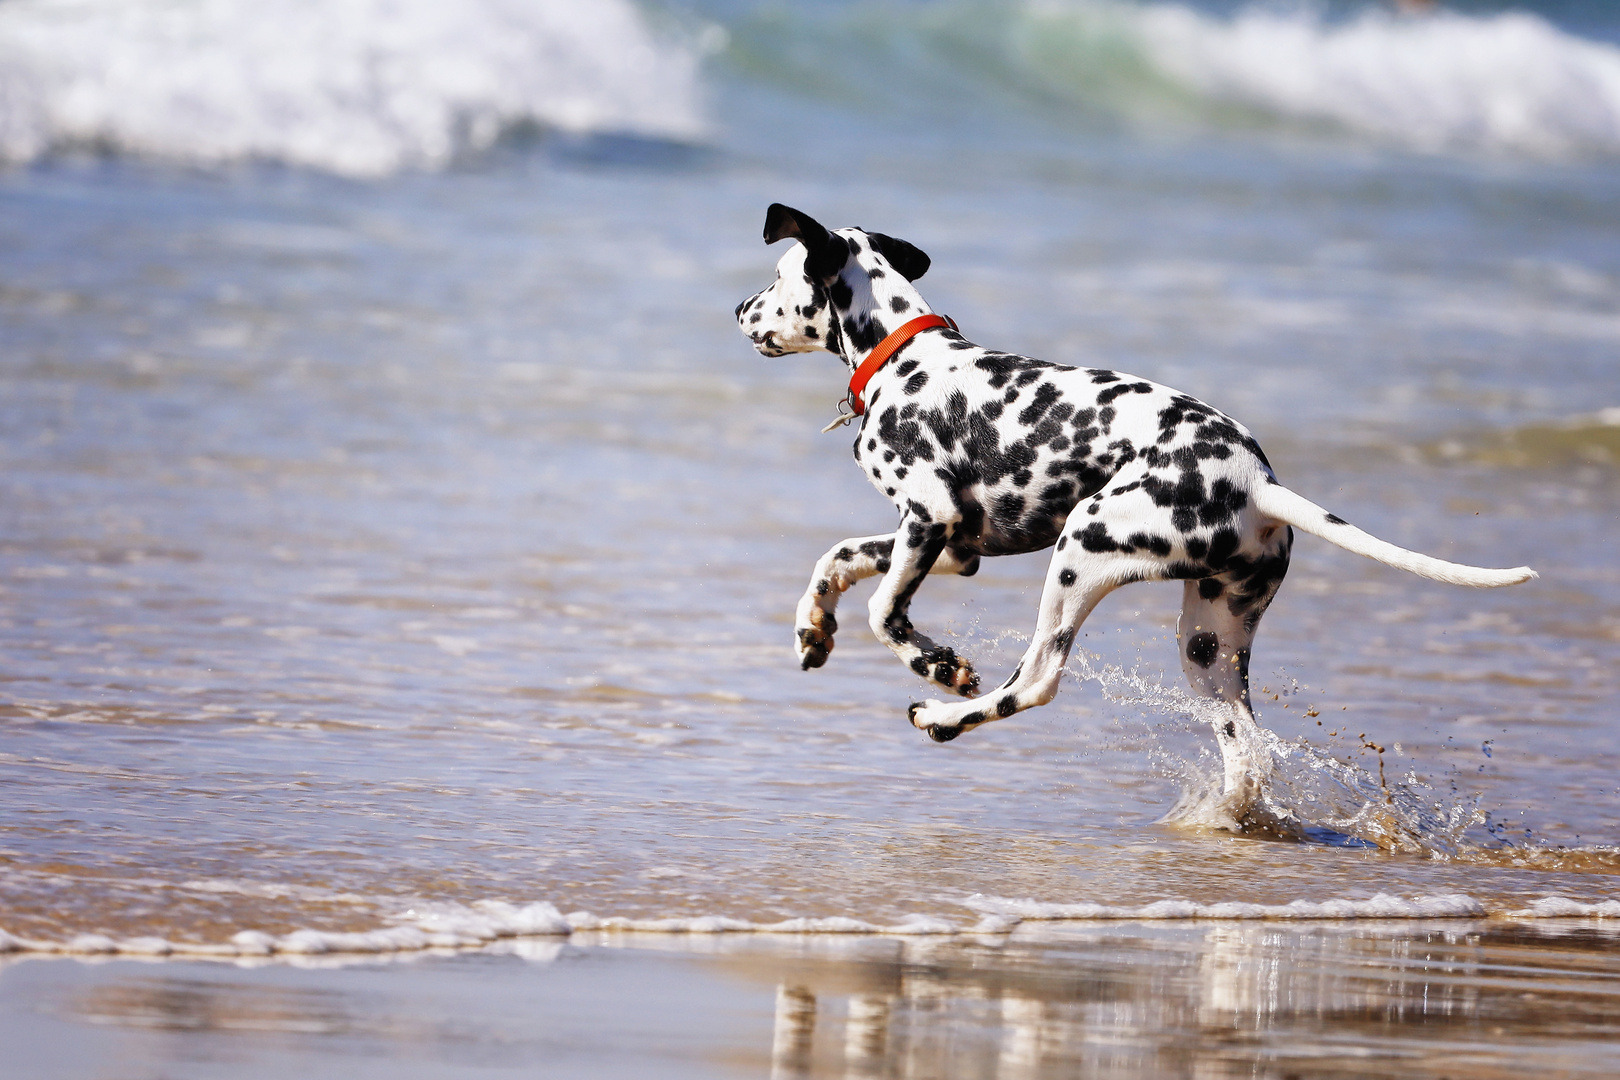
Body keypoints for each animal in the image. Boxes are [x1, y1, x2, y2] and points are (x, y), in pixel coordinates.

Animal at [741, 204, 1535, 829]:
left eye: (778, 278)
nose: (740, 310)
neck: (904, 356)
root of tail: (1256, 480)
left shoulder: (929, 519)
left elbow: (885, 613)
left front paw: (936, 666)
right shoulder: (953, 545)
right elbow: (838, 556)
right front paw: (813, 629)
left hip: (1079, 552)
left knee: (1037, 679)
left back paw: (944, 719)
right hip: (1209, 645)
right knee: (1247, 754)